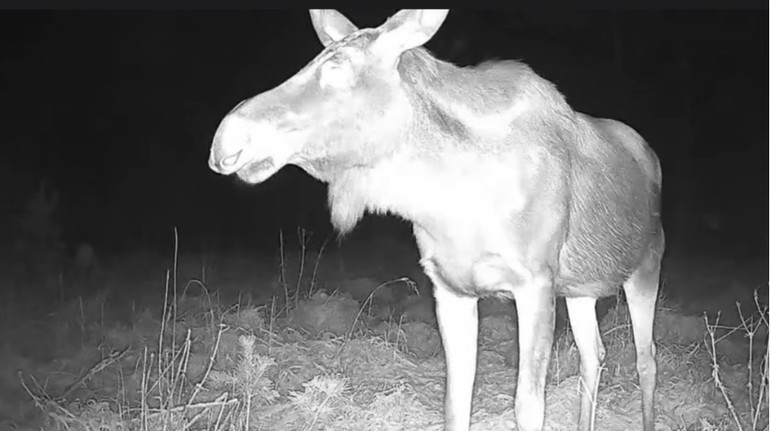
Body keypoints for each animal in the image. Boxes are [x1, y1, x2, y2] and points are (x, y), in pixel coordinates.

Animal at [208, 10, 660, 431]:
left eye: (337, 67)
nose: (225, 138)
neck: (447, 202)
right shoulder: (449, 286)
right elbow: (455, 402)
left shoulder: (535, 281)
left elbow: (529, 406)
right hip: (581, 288)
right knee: (593, 354)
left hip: (646, 265)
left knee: (646, 359)